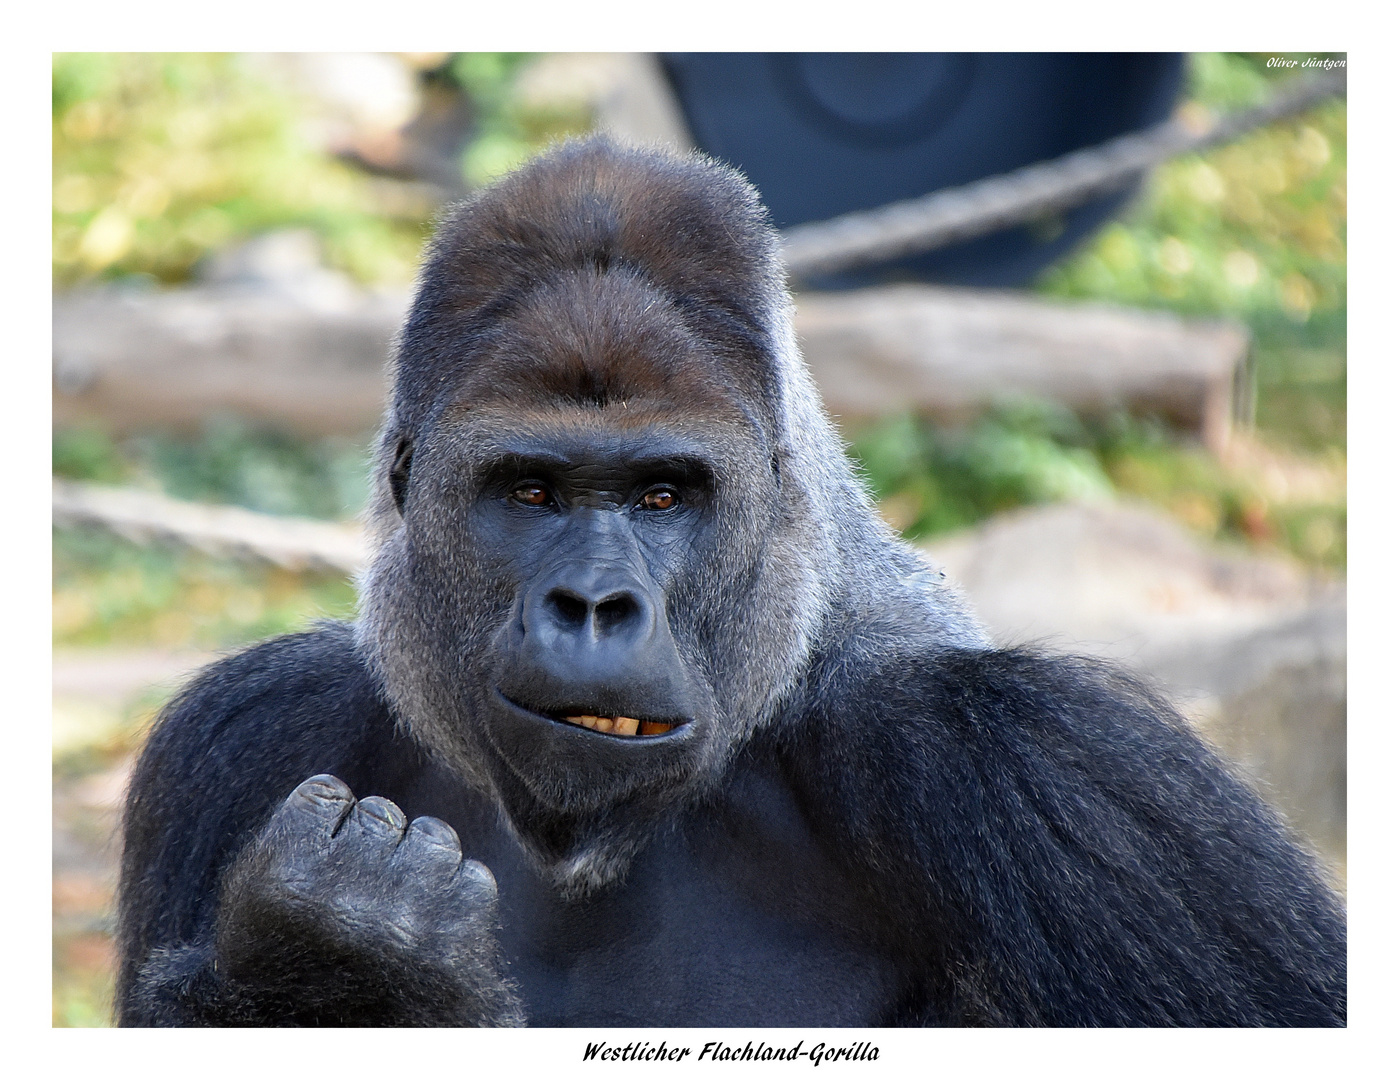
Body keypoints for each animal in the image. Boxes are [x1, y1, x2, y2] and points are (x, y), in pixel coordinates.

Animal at [117, 139, 1343, 1024]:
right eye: (529, 492)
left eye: (665, 495)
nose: (593, 607)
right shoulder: (249, 728)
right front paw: (324, 967)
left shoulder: (1044, 758)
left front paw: (352, 963)